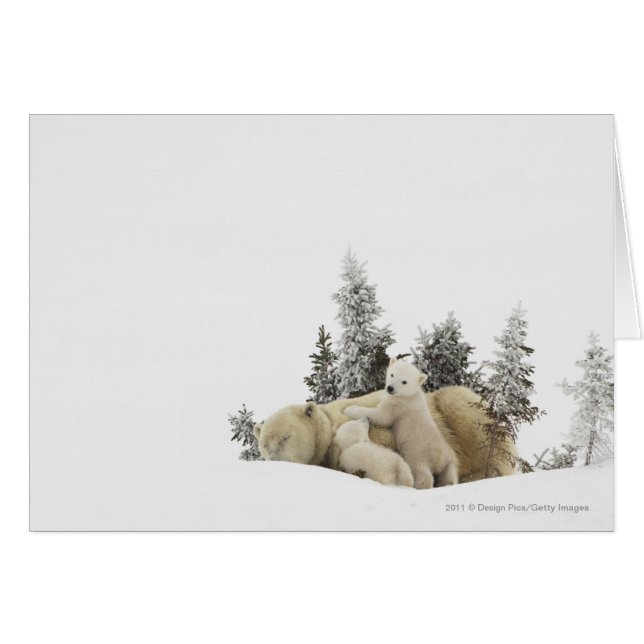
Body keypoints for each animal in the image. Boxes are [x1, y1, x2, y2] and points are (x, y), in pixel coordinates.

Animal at [344, 358, 459, 489]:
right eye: (392, 374)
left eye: (404, 382)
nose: (390, 388)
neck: (410, 395)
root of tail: (439, 460)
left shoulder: (399, 405)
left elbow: (382, 416)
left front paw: (349, 408)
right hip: (450, 459)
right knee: (450, 474)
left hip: (419, 456)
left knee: (422, 473)